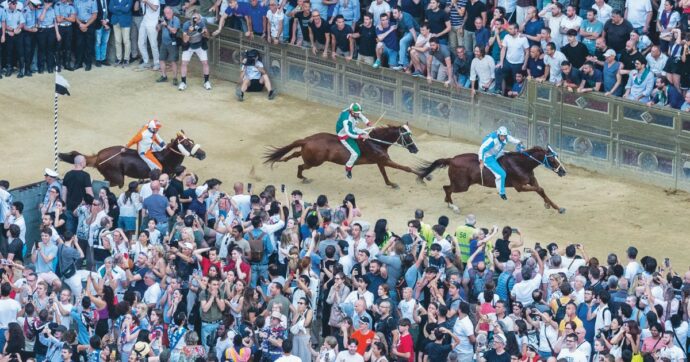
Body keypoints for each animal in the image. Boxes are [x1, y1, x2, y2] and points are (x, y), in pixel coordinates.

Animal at [59, 130, 206, 188]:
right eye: (186, 144)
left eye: (192, 141)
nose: (203, 154)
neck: (166, 158)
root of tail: (98, 156)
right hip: (117, 179)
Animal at [264, 124, 424, 188]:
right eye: (407, 137)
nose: (415, 149)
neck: (376, 142)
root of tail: (307, 139)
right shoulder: (384, 160)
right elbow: (406, 168)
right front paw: (423, 175)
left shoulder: (380, 161)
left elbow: (384, 175)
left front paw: (391, 184)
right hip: (315, 162)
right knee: (300, 165)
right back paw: (302, 177)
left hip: (309, 155)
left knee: (296, 154)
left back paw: (283, 159)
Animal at [414, 146, 564, 214]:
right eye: (552, 160)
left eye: (558, 158)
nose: (563, 171)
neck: (520, 164)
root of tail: (451, 159)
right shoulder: (520, 187)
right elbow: (540, 189)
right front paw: (549, 205)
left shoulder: (531, 181)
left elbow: (541, 190)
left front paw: (556, 207)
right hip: (462, 185)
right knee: (446, 188)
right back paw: (453, 206)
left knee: (447, 189)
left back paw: (449, 203)